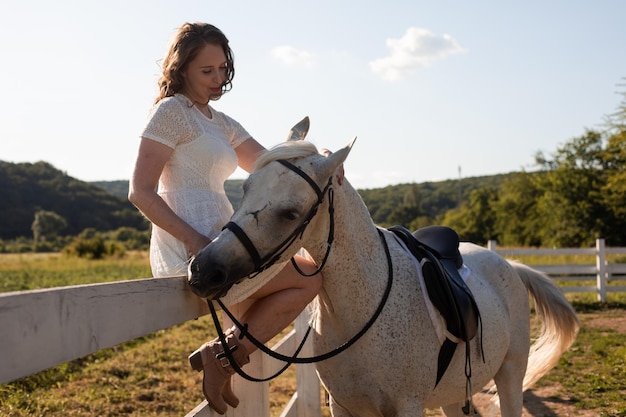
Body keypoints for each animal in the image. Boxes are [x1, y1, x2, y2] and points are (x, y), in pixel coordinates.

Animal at [188, 118, 576, 414]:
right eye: (246, 188)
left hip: (510, 375)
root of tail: (510, 265)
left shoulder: (407, 406)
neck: (360, 309)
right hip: (454, 395)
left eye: (291, 213)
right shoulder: (344, 406)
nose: (202, 269)